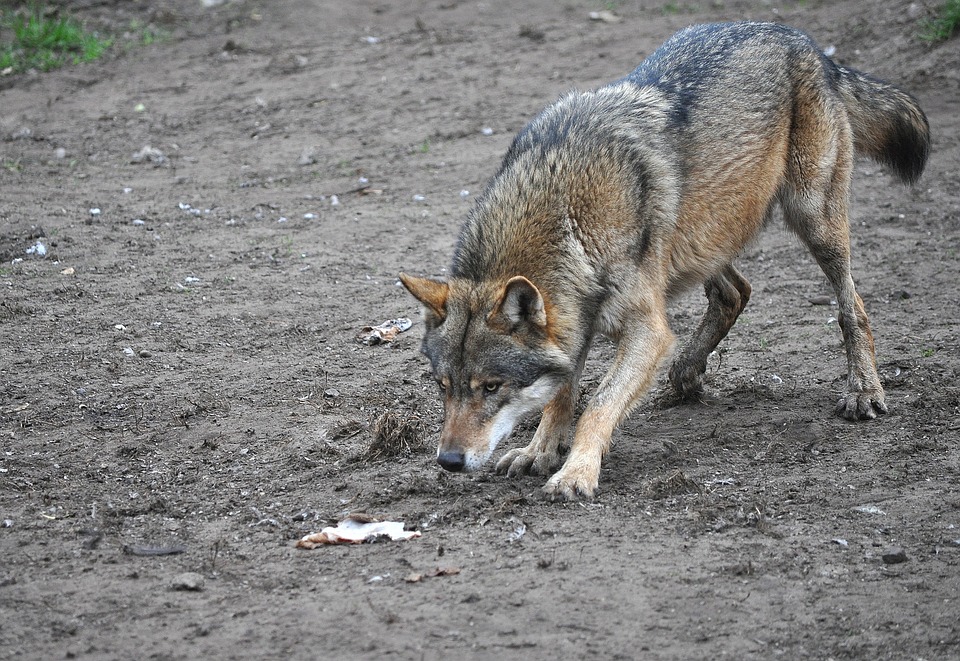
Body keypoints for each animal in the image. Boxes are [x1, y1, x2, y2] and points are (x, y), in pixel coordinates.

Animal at [399, 21, 929, 500]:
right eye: (443, 386)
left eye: (491, 387)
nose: (448, 461)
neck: (566, 215)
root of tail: (805, 42)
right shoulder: (579, 323)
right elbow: (562, 394)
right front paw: (540, 452)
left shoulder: (646, 330)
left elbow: (597, 406)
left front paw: (575, 473)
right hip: (703, 240)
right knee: (736, 293)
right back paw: (686, 375)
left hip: (813, 220)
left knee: (851, 305)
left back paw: (864, 391)